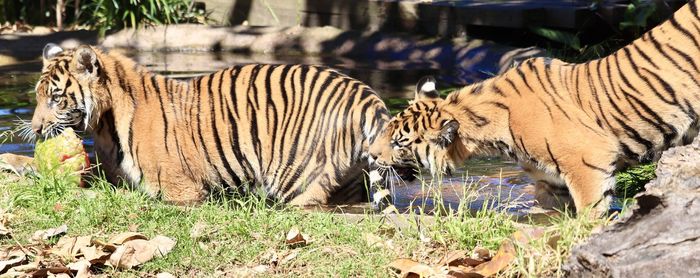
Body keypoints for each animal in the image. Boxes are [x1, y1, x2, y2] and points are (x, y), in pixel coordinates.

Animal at [366, 0, 700, 217]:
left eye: (399, 143)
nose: (370, 154)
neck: (494, 133)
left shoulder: (588, 161)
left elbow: (591, 211)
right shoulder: (550, 181)